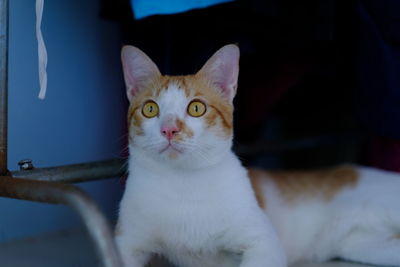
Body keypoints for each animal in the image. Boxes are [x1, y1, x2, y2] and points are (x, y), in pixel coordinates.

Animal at [115, 44, 400, 267]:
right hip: (364, 246)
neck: (182, 184)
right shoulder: (126, 244)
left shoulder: (264, 243)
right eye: (150, 109)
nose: (169, 129)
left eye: (196, 108)